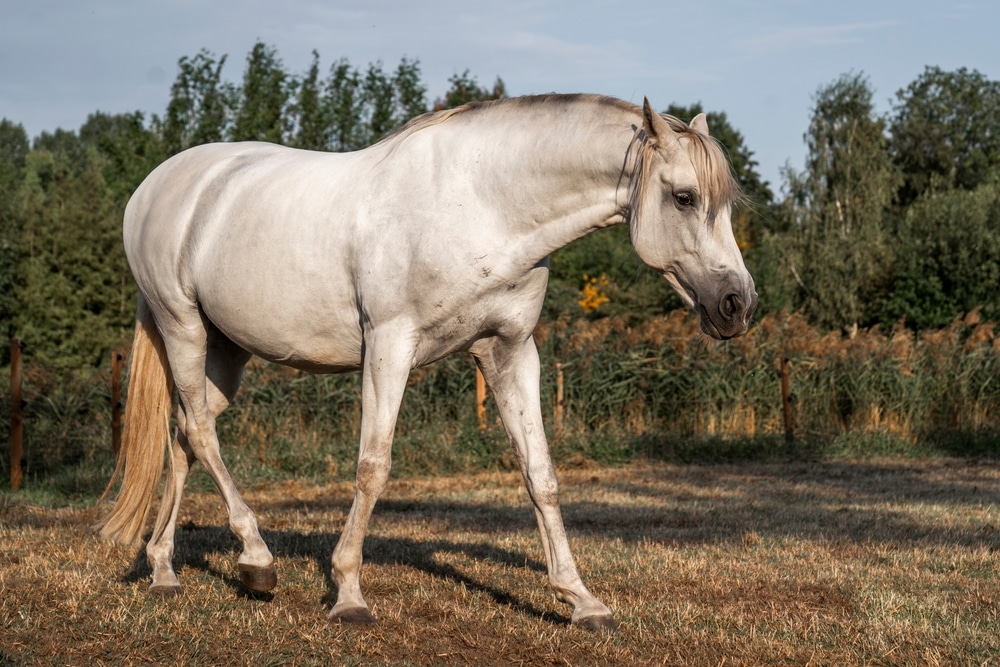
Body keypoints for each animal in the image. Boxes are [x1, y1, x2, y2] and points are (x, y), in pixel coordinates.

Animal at [97, 94, 756, 632]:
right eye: (684, 197)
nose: (737, 304)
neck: (485, 204)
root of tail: (157, 186)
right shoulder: (389, 346)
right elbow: (374, 465)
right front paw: (348, 593)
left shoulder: (510, 350)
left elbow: (540, 473)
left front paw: (581, 600)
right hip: (182, 327)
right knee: (202, 434)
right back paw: (256, 562)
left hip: (225, 351)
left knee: (184, 436)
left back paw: (164, 570)